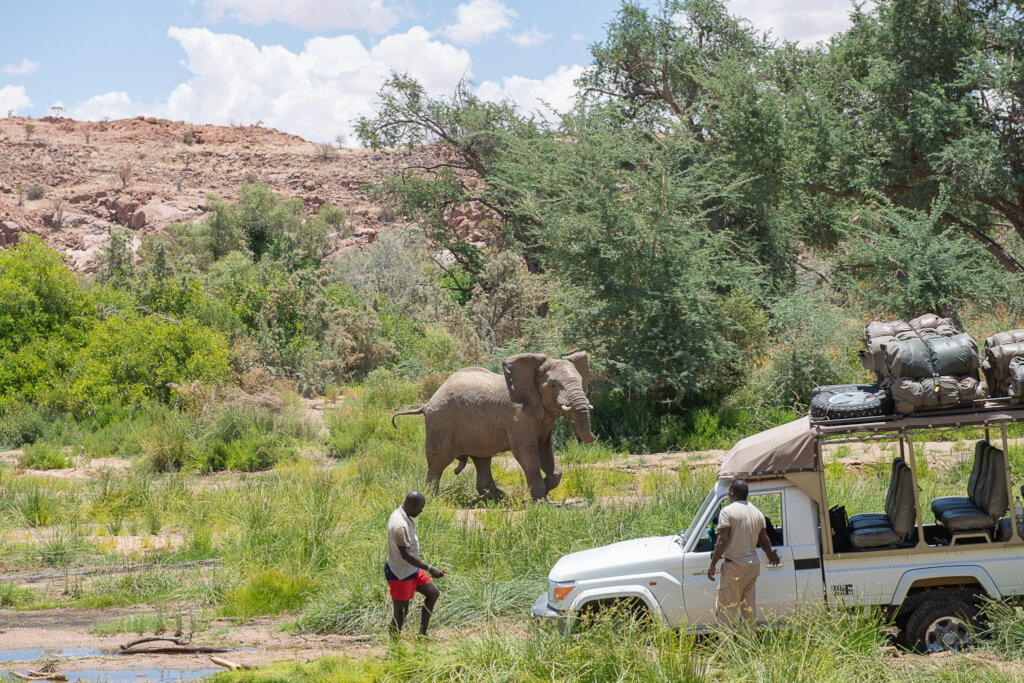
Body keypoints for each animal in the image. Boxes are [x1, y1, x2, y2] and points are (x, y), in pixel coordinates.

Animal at [391, 352, 596, 500]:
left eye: (581, 382)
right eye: (553, 385)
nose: (595, 437)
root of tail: (427, 404)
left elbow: (545, 450)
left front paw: (545, 489)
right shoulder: (518, 418)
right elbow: (527, 454)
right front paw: (540, 501)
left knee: (482, 459)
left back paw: (499, 498)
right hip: (440, 423)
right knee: (437, 462)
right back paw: (431, 499)